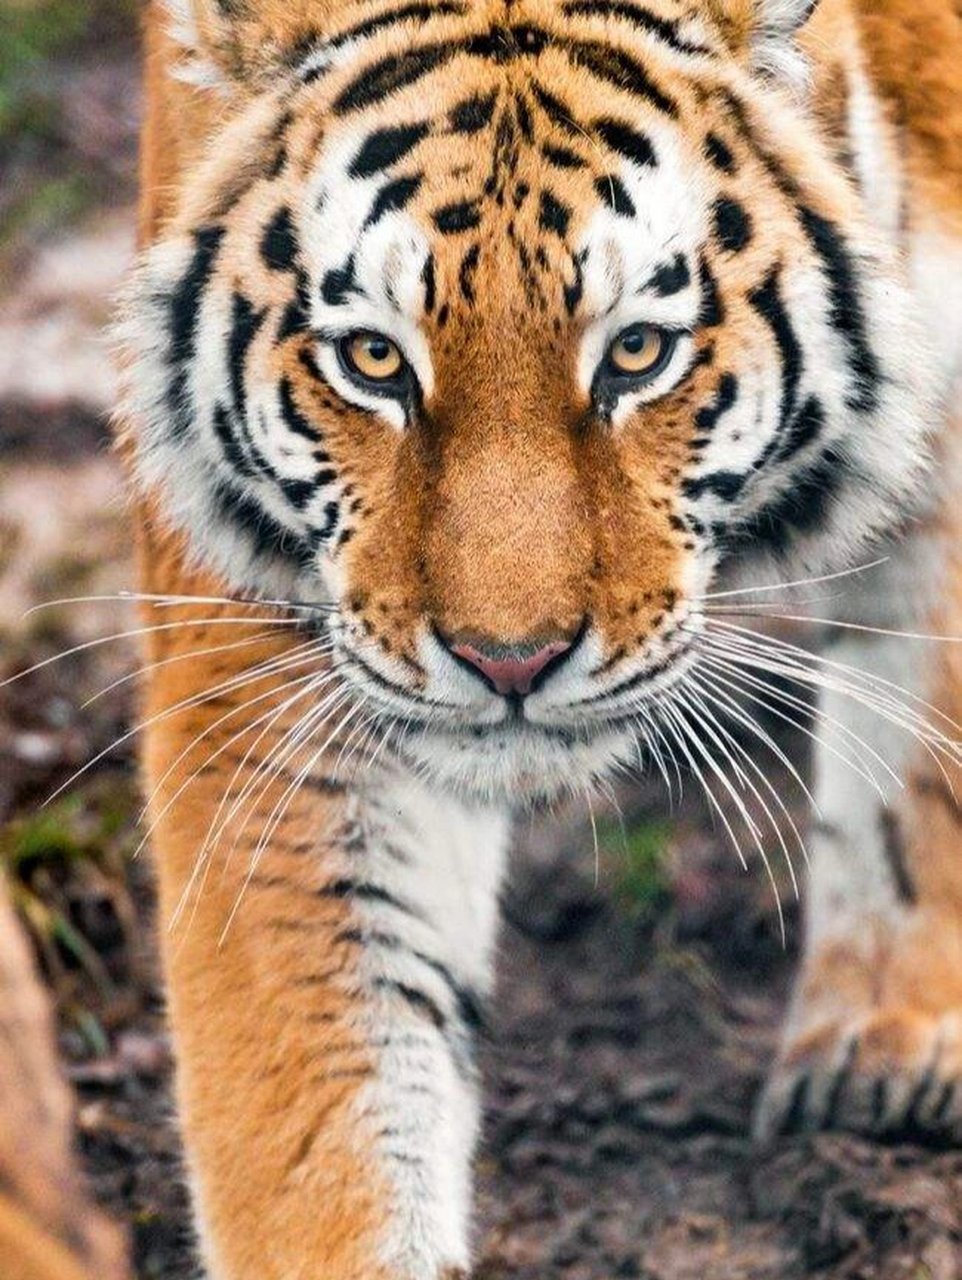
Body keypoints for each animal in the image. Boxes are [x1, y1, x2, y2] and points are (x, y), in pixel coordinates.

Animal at [115, 0, 962, 1275]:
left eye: (637, 352)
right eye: (372, 359)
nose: (506, 660)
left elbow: (922, 742)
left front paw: (884, 1041)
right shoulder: (275, 637)